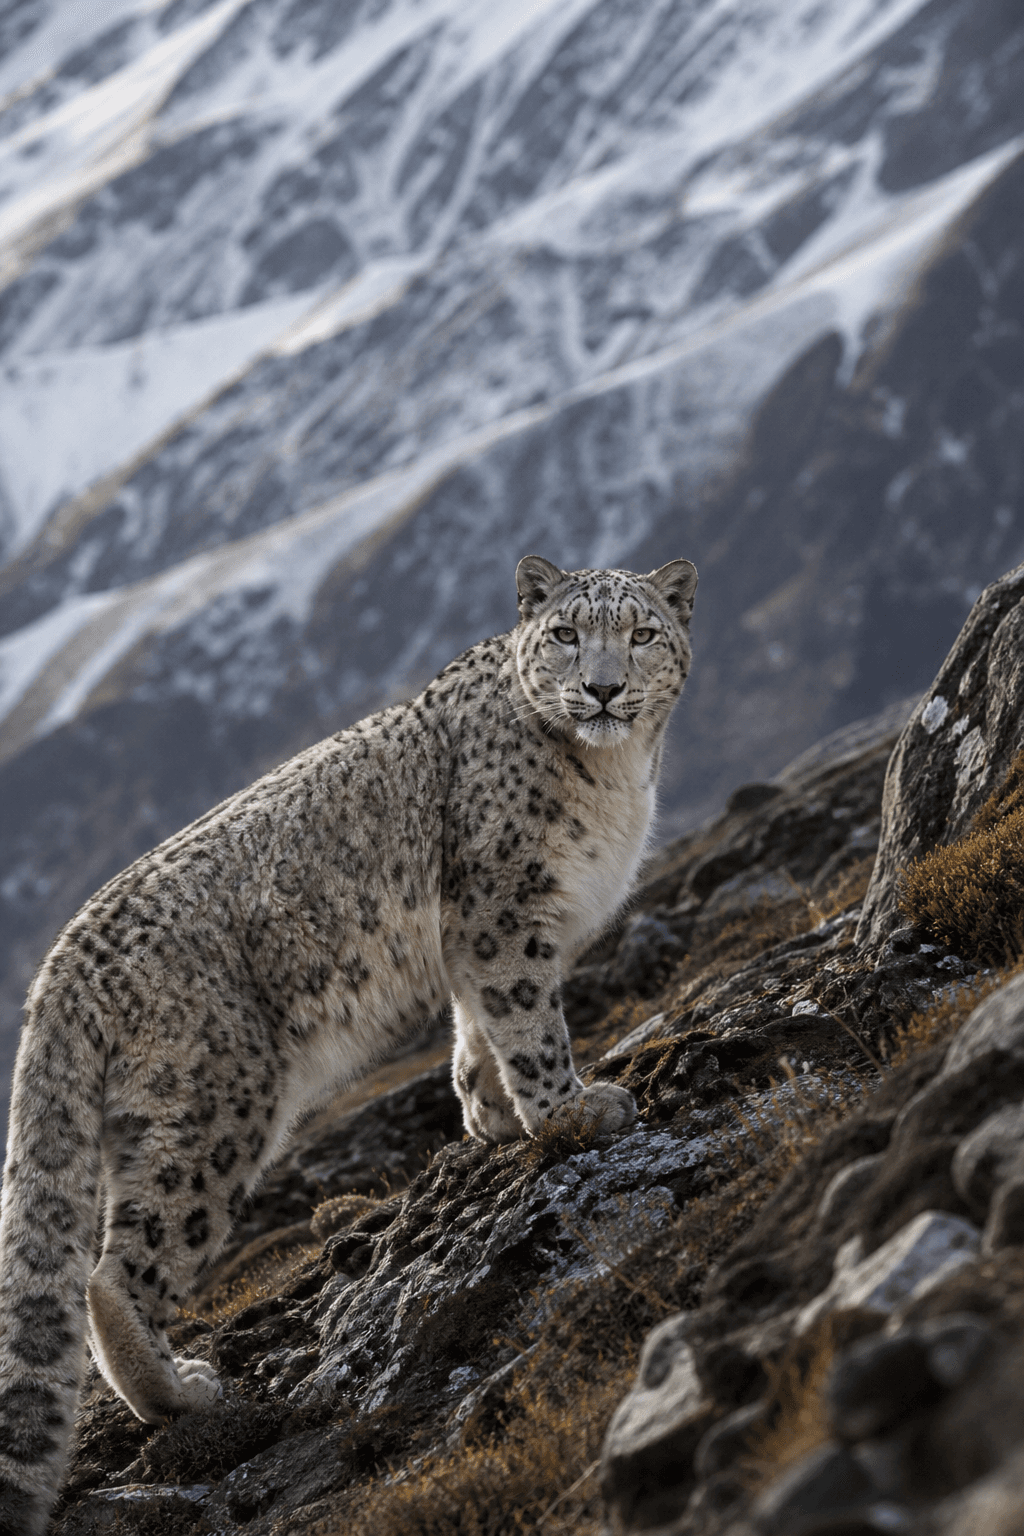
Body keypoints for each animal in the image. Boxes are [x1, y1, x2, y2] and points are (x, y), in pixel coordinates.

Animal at [0, 553, 696, 1533]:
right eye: (565, 634)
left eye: (641, 634)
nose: (602, 688)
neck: (617, 775)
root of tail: (58, 970)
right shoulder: (504, 911)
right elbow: (528, 1019)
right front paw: (571, 1114)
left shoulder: (476, 943)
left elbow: (479, 1028)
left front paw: (492, 1116)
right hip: (219, 1102)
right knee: (116, 1267)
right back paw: (183, 1393)